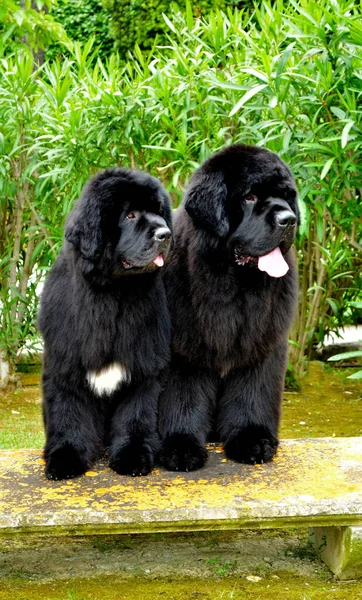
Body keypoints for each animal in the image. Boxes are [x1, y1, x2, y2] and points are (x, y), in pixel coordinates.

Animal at [38, 166, 173, 480]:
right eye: (130, 215)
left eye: (160, 212)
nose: (165, 234)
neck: (112, 294)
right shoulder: (66, 365)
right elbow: (69, 413)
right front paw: (65, 458)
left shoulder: (143, 364)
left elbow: (136, 414)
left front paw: (133, 456)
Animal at [160, 143, 298, 472]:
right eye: (249, 197)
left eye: (287, 196)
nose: (289, 219)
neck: (234, 289)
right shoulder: (183, 351)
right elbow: (181, 399)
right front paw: (181, 448)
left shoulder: (261, 346)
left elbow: (252, 395)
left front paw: (252, 441)